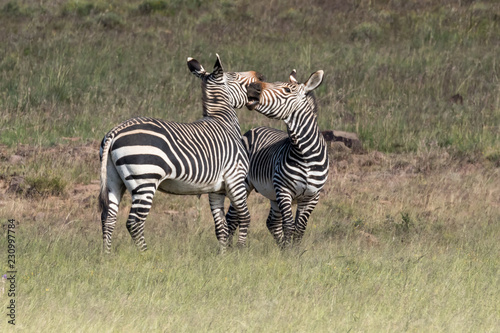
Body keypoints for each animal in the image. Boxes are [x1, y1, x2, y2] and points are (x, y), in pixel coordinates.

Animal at [99, 53, 266, 252]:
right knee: (134, 223)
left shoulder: (216, 189)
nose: (261, 77)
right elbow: (245, 217)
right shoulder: (236, 179)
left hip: (113, 180)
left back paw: (107, 255)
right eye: (235, 75)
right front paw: (240, 250)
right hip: (145, 179)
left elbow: (221, 227)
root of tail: (115, 131)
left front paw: (223, 254)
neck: (223, 121)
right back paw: (145, 254)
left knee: (108, 218)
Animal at [227, 69, 328, 246]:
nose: (252, 86)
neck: (305, 154)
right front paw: (289, 251)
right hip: (244, 183)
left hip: (273, 195)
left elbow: (299, 229)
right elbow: (289, 225)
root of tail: (252, 129)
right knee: (233, 217)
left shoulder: (312, 196)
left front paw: (294, 250)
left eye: (287, 90)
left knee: (272, 222)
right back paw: (229, 249)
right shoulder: (284, 190)